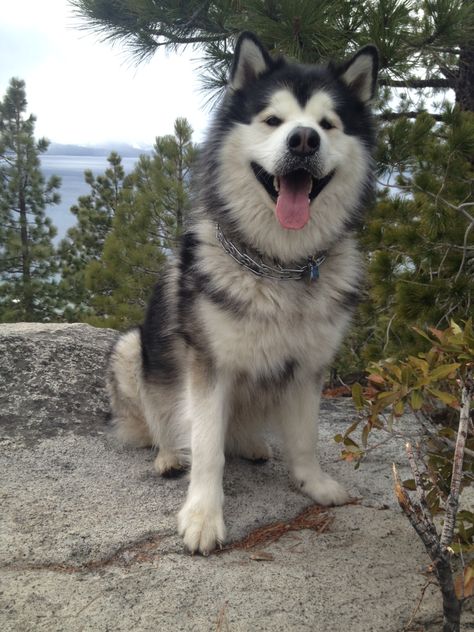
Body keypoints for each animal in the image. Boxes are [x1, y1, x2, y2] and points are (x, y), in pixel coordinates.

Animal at [107, 32, 378, 552]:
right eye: (273, 120)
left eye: (327, 125)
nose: (303, 139)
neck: (280, 267)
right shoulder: (209, 366)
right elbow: (207, 448)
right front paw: (203, 516)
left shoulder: (310, 366)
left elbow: (305, 438)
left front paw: (313, 483)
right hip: (131, 349)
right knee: (160, 425)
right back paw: (169, 455)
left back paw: (252, 445)